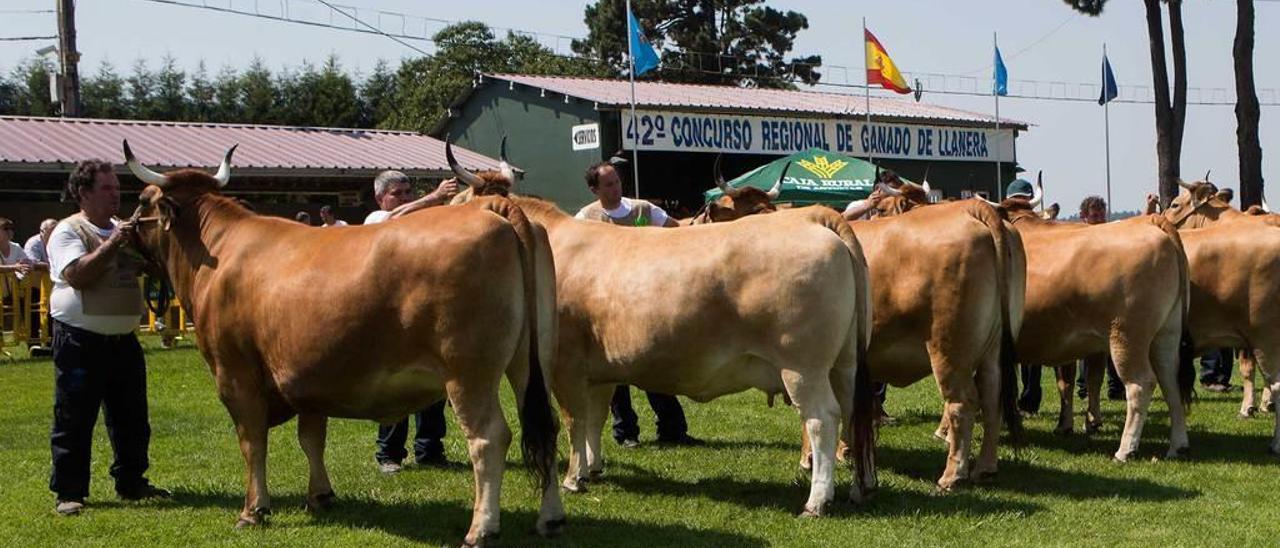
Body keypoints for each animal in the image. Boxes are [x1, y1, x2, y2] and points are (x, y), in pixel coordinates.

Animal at [122, 141, 563, 542]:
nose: (124, 235)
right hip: (531, 361)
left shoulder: (234, 374)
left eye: (142, 200)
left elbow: (252, 442)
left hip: (468, 373)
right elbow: (311, 439)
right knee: (546, 427)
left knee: (489, 438)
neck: (219, 250)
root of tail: (494, 208)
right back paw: (551, 518)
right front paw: (320, 496)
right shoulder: (306, 377)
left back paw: (481, 528)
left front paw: (253, 510)